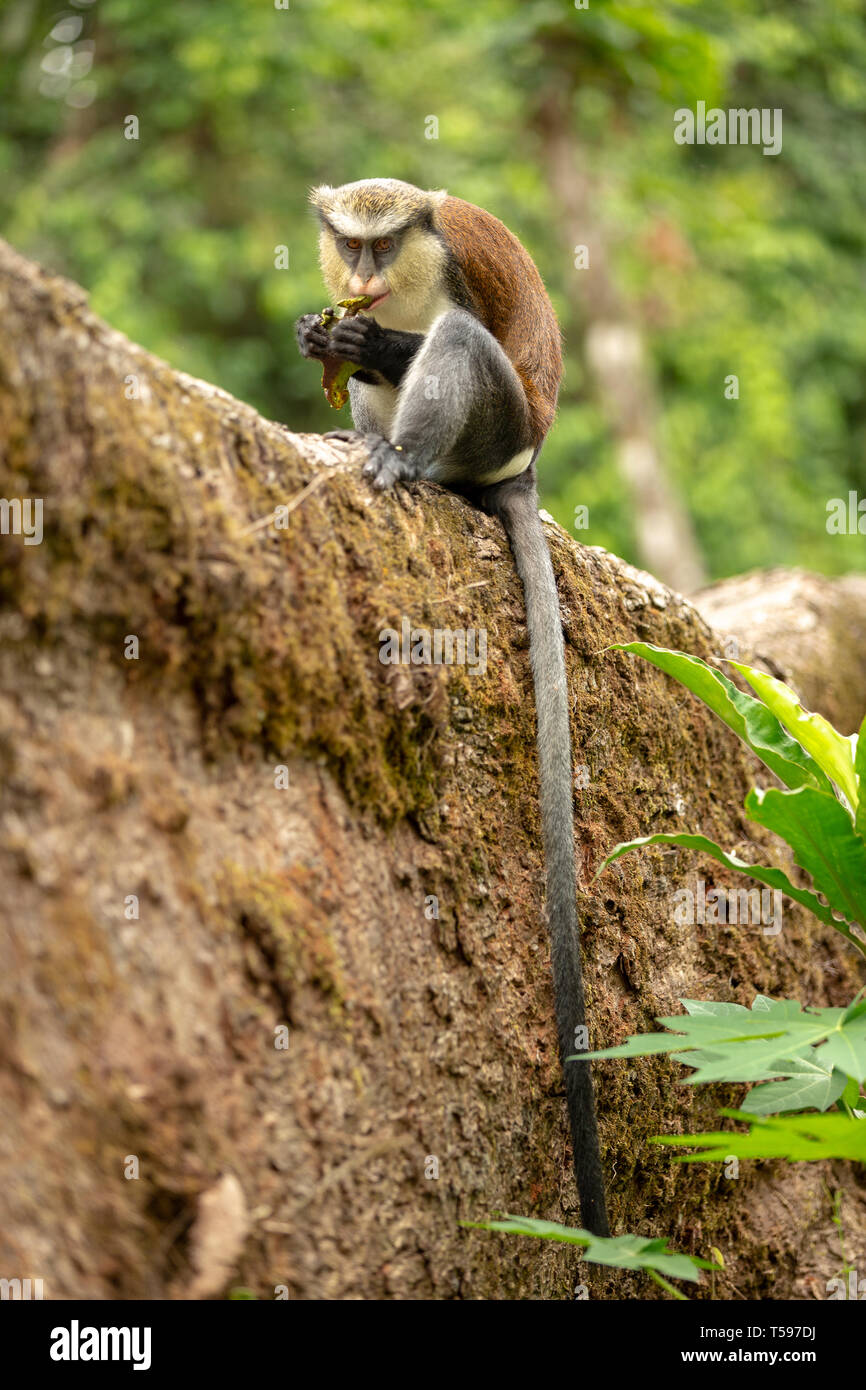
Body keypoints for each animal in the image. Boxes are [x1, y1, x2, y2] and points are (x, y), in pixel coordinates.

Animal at [297, 176, 608, 1239]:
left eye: (387, 241)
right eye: (350, 242)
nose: (362, 277)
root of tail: (523, 470)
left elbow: (448, 338)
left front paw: (367, 340)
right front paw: (323, 337)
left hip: (498, 431)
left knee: (462, 348)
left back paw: (406, 460)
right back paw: (364, 438)